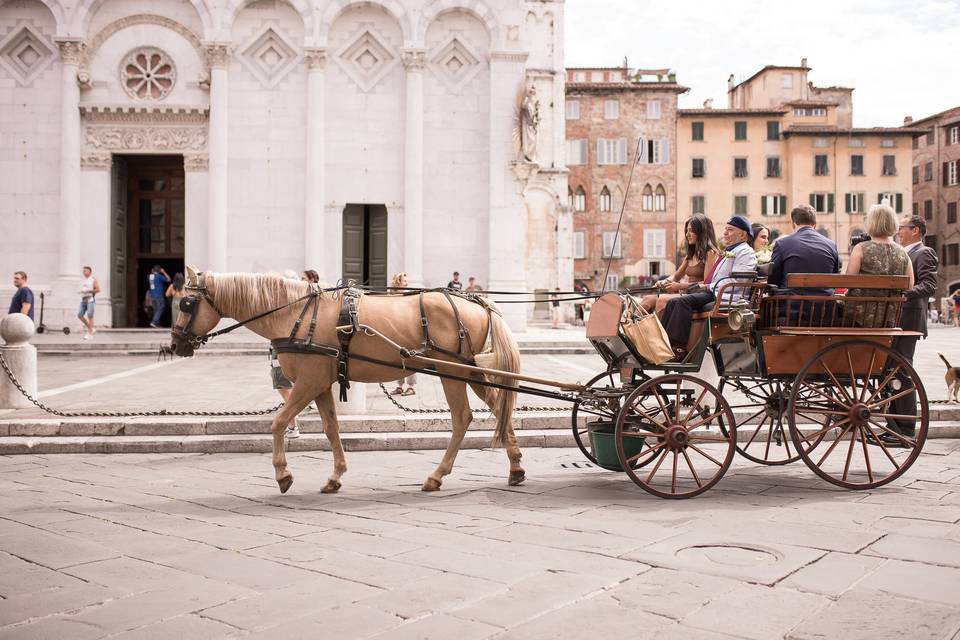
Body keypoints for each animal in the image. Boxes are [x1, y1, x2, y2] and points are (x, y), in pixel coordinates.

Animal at [167, 264, 524, 496]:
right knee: (500, 409)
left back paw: (436, 476)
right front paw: (335, 476)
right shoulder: (322, 383)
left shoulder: (308, 382)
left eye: (186, 302)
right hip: (474, 372)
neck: (294, 313)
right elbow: (330, 428)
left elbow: (279, 422)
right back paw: (516, 468)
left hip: (453, 373)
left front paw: (283, 474)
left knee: (462, 417)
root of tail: (475, 301)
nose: (174, 344)